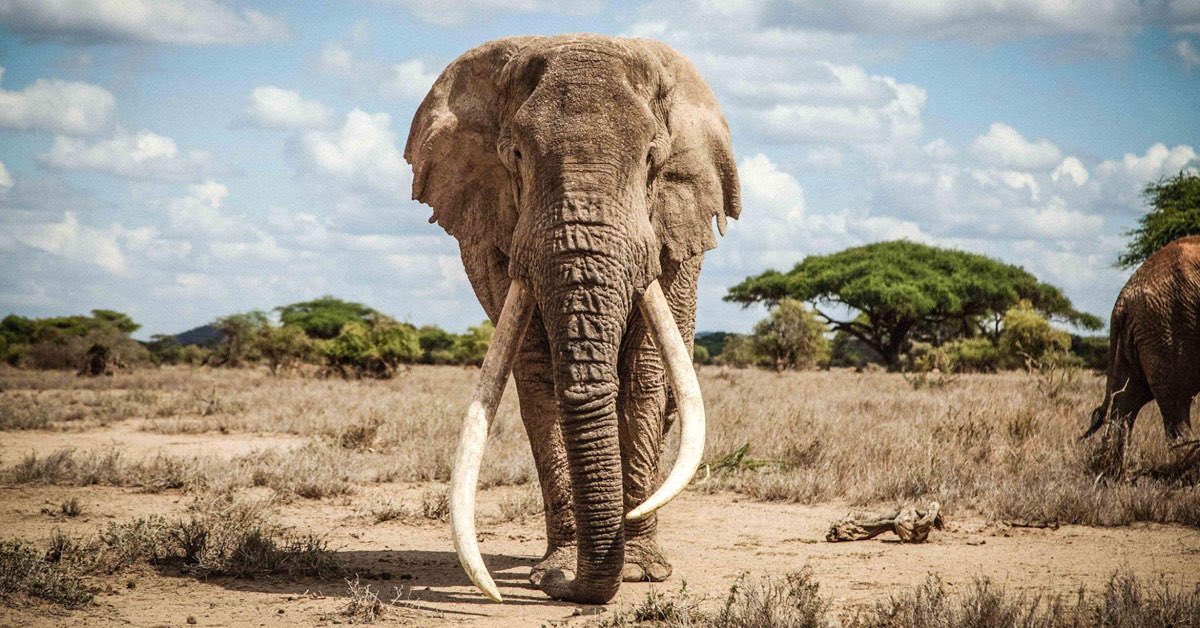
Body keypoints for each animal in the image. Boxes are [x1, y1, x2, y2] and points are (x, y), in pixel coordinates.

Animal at [403, 35, 740, 604]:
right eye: (515, 155)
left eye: (652, 159)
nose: (566, 588)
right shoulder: (498, 237)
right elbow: (539, 379)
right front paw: (554, 571)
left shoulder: (675, 227)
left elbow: (646, 377)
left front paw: (640, 572)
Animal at [1084, 235, 1200, 472]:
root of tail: (1123, 297)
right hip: (1170, 326)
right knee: (1178, 403)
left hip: (1142, 333)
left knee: (1126, 401)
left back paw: (1113, 471)